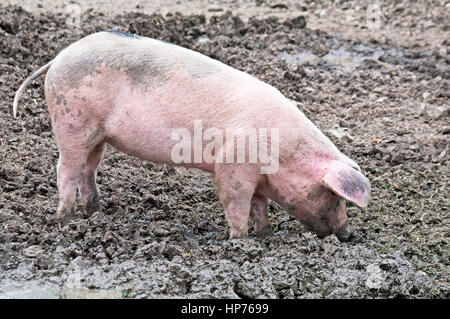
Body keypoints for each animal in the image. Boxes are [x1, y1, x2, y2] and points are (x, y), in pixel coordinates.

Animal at [14, 31, 370, 242]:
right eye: (336, 197)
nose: (349, 234)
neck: (284, 153)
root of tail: (60, 57)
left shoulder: (255, 175)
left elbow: (259, 205)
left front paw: (266, 235)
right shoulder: (232, 169)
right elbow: (237, 204)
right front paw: (240, 242)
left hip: (96, 135)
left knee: (88, 169)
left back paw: (95, 212)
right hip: (72, 121)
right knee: (65, 169)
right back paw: (66, 220)